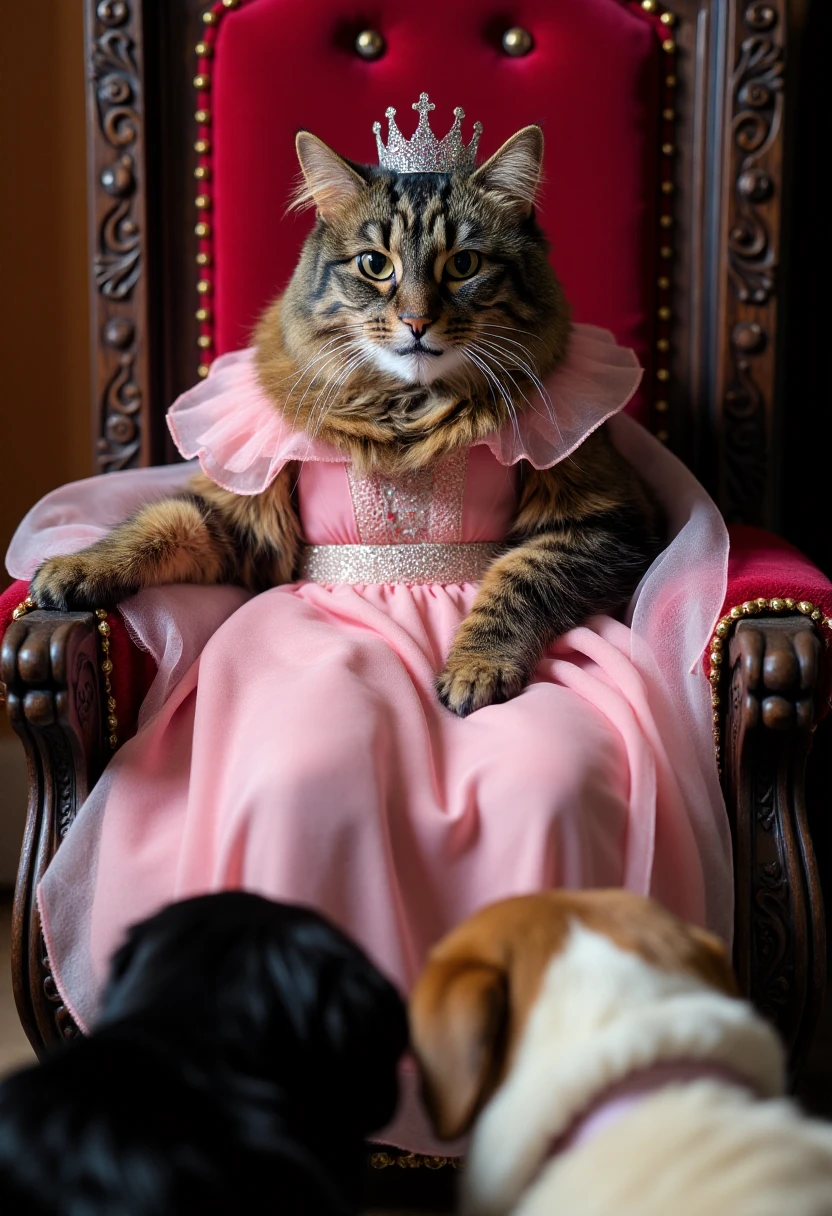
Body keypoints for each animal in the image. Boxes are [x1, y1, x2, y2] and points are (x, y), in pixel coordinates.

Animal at [29, 123, 661, 715]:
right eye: (375, 265)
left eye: (463, 264)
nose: (416, 322)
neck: (405, 408)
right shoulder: (247, 523)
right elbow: (159, 524)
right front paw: (72, 570)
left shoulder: (604, 521)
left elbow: (518, 578)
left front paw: (474, 666)